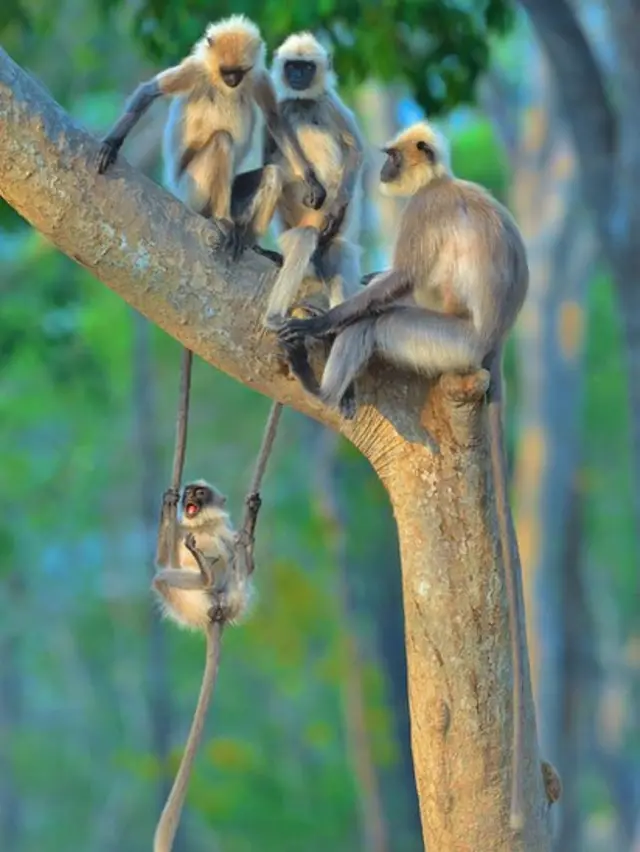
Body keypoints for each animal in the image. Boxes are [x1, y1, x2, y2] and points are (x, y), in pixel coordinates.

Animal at [97, 15, 328, 255]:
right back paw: (222, 220)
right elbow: (150, 91)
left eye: (239, 72)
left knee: (273, 174)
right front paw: (111, 143)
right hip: (192, 190)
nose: (232, 80)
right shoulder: (196, 69)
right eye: (226, 71)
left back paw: (250, 242)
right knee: (222, 140)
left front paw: (312, 181)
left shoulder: (258, 77)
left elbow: (274, 120)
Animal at [260, 31, 362, 330]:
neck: (303, 102)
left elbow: (356, 150)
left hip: (329, 239)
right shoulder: (282, 107)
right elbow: (269, 157)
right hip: (292, 235)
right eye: (292, 66)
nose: (297, 76)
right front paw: (311, 184)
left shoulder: (330, 102)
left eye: (306, 67)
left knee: (338, 251)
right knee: (304, 238)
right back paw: (273, 317)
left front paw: (336, 208)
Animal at [280, 120, 528, 832]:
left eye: (391, 157)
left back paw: (320, 382)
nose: (385, 169)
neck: (442, 181)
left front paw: (321, 323)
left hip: (445, 345)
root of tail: (491, 348)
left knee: (384, 322)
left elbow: (400, 284)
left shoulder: (424, 212)